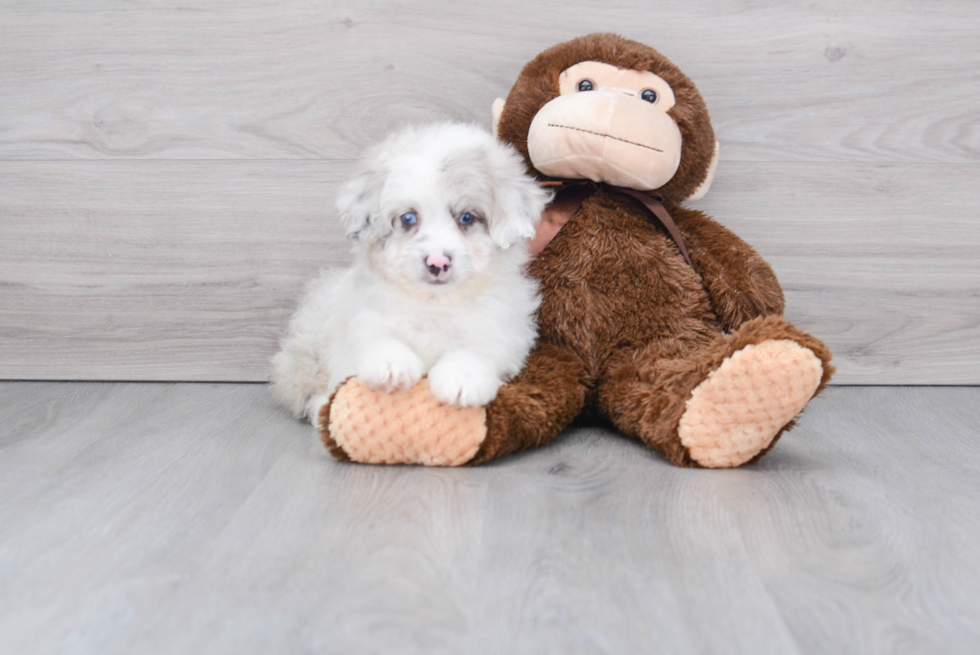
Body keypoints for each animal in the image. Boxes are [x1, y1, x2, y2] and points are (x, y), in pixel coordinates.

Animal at [270, 123, 552, 426]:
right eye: (408, 218)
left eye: (466, 217)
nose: (437, 261)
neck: (435, 303)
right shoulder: (364, 316)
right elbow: (378, 338)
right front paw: (391, 365)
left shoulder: (502, 330)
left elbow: (476, 349)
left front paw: (461, 379)